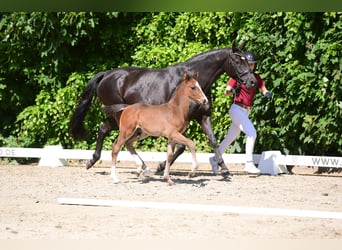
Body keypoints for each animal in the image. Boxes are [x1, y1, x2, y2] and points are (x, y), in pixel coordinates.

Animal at [70, 41, 256, 177]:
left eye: (247, 61)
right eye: (237, 61)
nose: (252, 82)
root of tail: (106, 75)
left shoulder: (203, 116)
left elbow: (213, 140)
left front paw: (224, 169)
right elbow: (181, 147)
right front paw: (161, 167)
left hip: (117, 118)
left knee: (103, 129)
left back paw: (94, 161)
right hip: (120, 117)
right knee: (117, 137)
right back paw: (139, 166)